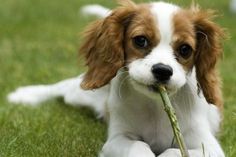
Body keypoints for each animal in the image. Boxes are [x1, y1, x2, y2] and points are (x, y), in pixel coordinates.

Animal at [7, 0, 225, 156]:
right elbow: (138, 147)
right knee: (61, 87)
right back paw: (26, 95)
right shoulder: (117, 140)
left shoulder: (208, 147)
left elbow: (173, 151)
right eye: (140, 40)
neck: (154, 106)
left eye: (185, 49)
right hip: (82, 92)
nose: (163, 70)